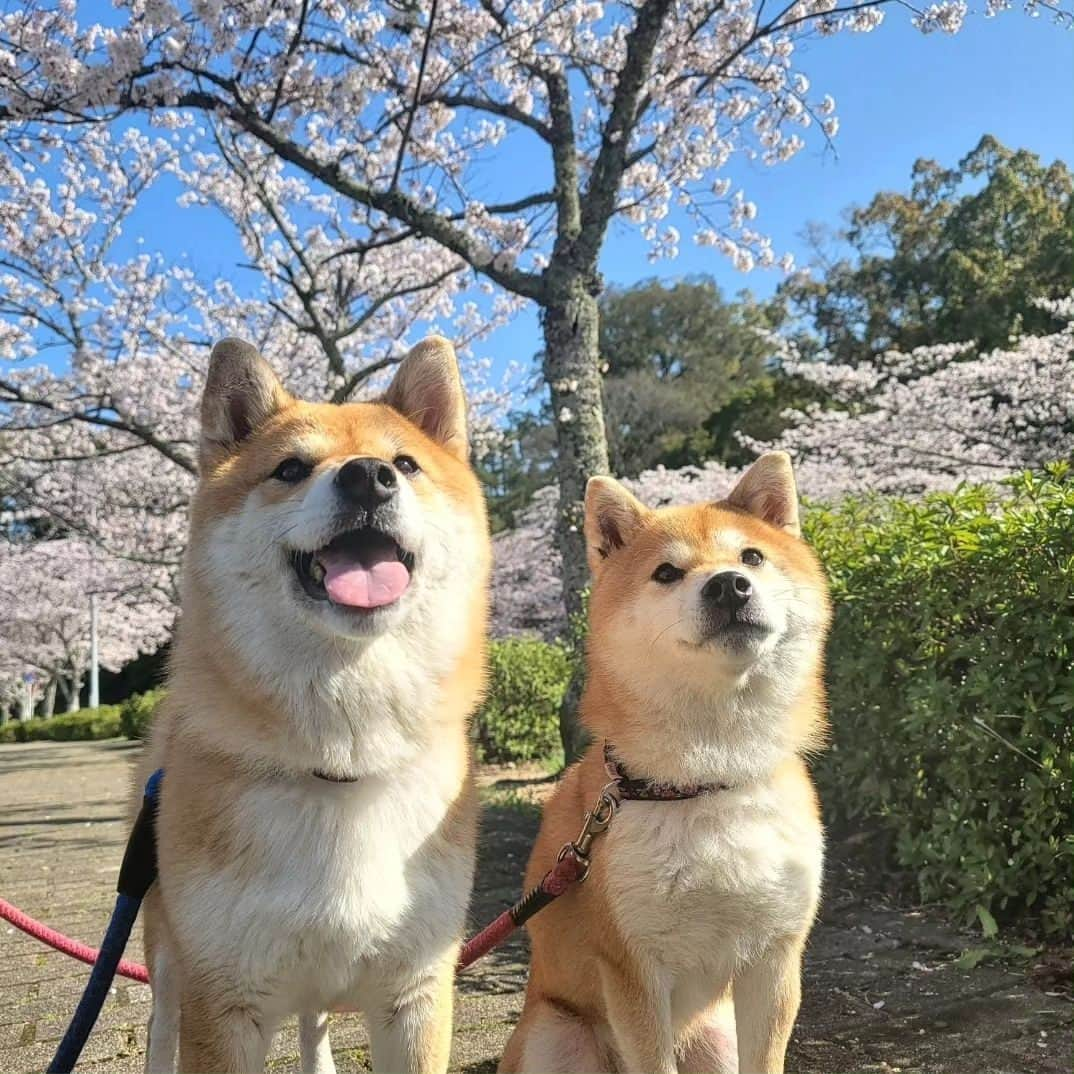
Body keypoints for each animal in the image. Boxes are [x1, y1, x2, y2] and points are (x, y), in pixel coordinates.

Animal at [136, 337, 489, 1074]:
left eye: (405, 464)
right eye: (291, 469)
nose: (368, 478)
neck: (342, 765)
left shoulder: (416, 991)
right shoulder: (223, 998)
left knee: (313, 1018)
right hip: (166, 943)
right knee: (161, 1019)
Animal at [498, 453, 833, 1074]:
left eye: (752, 557)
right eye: (666, 573)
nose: (728, 584)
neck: (705, 780)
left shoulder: (775, 957)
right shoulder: (633, 967)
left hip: (715, 1038)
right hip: (557, 1035)